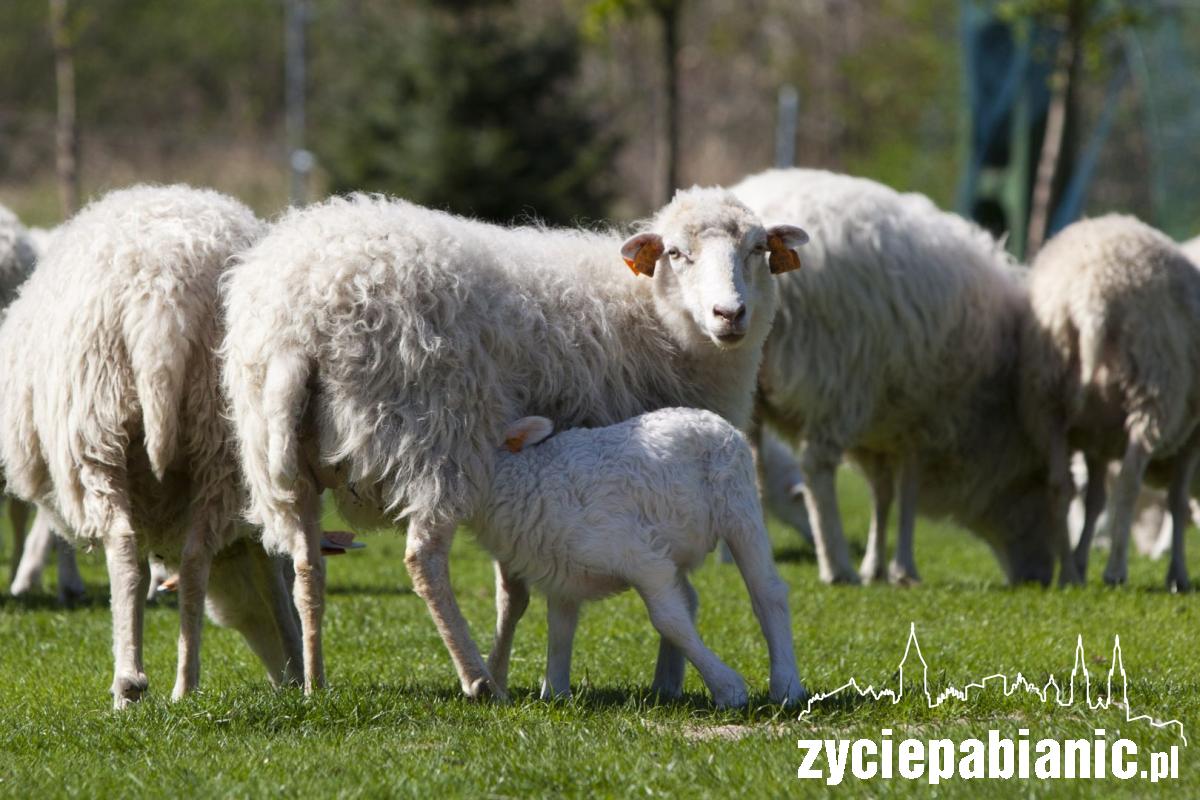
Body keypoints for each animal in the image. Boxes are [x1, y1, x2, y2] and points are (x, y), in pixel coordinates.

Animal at [0, 183, 304, 705]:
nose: (288, 678)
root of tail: (163, 295)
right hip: (215, 437)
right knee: (194, 558)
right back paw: (182, 685)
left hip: (95, 433)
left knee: (122, 548)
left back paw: (129, 683)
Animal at [472, 412, 801, 705]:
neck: (527, 480)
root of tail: (713, 418)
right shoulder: (562, 575)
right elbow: (560, 631)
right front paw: (555, 693)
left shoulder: (641, 557)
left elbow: (669, 621)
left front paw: (728, 689)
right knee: (689, 597)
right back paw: (666, 685)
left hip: (738, 504)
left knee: (767, 593)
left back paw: (787, 687)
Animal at [734, 167, 1065, 587]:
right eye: (1037, 488)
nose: (1039, 579)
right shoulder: (923, 418)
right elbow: (907, 492)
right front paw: (903, 569)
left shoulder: (887, 424)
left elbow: (883, 493)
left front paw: (877, 566)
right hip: (835, 376)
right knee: (816, 467)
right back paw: (837, 567)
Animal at [1017, 215, 1200, 592]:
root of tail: (1091, 301)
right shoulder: (1193, 436)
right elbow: (1177, 503)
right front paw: (1178, 574)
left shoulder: (1096, 439)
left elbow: (1094, 502)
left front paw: (1081, 560)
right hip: (1152, 396)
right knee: (1129, 484)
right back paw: (1115, 570)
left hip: (1048, 404)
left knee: (1060, 486)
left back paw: (1069, 575)